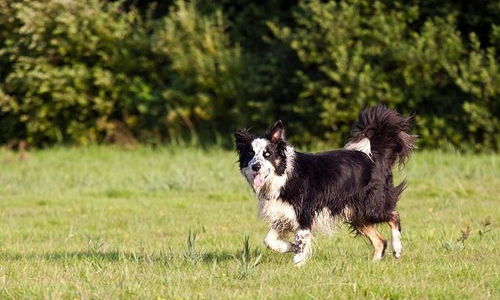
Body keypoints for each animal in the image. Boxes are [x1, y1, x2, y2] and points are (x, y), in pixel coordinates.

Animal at [236, 105, 416, 264]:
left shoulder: (304, 213)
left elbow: (300, 243)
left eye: (267, 154)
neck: (284, 176)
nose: (255, 166)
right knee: (380, 240)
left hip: (371, 205)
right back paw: (374, 264)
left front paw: (297, 263)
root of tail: (375, 156)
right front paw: (290, 246)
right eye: (251, 154)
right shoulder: (282, 215)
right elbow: (269, 241)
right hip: (355, 212)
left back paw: (397, 249)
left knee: (394, 215)